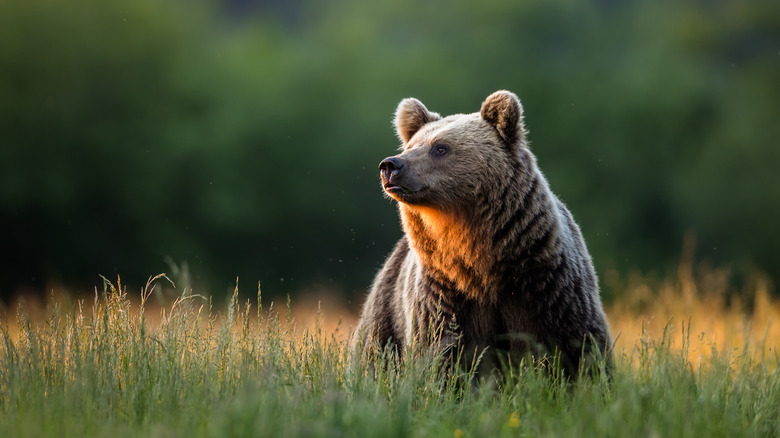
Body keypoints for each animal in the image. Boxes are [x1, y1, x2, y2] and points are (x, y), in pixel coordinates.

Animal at [354, 90, 616, 378]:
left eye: (440, 148)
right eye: (410, 146)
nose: (390, 165)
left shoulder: (546, 285)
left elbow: (580, 349)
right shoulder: (444, 294)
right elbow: (440, 356)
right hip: (386, 312)